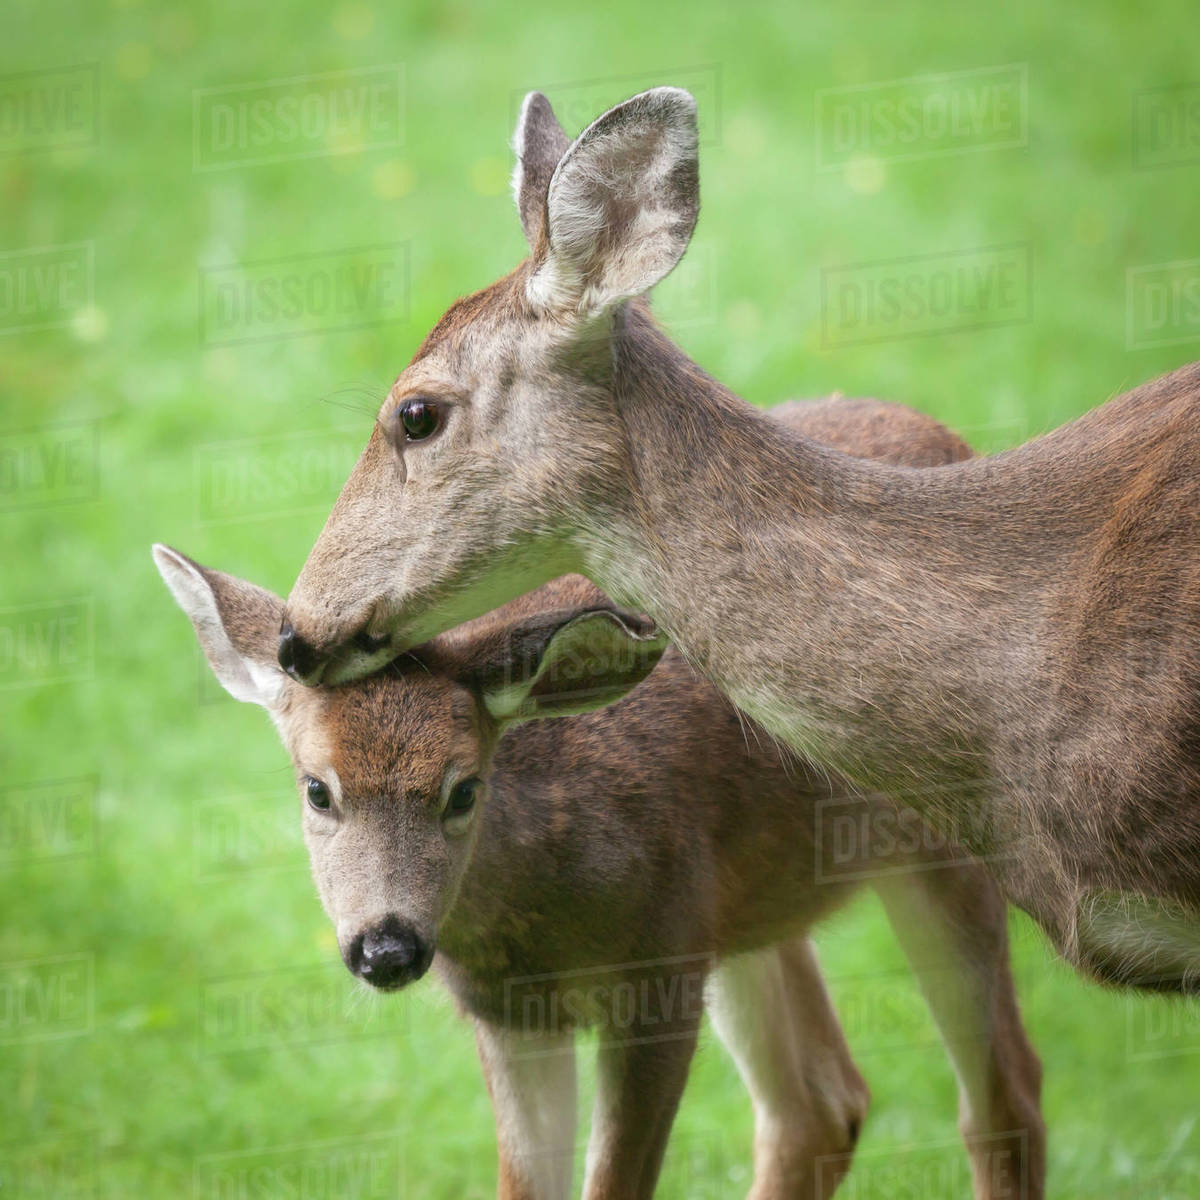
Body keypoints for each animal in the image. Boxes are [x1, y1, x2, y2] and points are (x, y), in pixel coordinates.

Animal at [156, 398, 1044, 1200]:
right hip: (746, 915)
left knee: (1005, 1094)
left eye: (463, 789)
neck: (541, 928)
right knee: (821, 1105)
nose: (387, 947)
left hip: (949, 852)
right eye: (317, 789)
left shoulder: (659, 977)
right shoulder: (512, 1015)